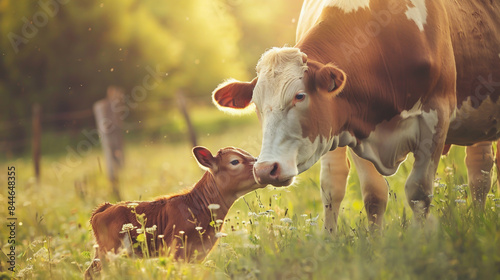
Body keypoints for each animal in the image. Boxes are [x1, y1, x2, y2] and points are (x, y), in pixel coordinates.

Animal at [84, 147, 264, 278]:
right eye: (235, 161)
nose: (262, 168)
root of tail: (106, 206)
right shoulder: (175, 251)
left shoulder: (197, 255)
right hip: (111, 251)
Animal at [214, 0, 500, 228]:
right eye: (256, 104)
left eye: (300, 96)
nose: (265, 169)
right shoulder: (355, 126)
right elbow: (373, 195)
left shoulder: (436, 116)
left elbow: (418, 193)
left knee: (480, 171)